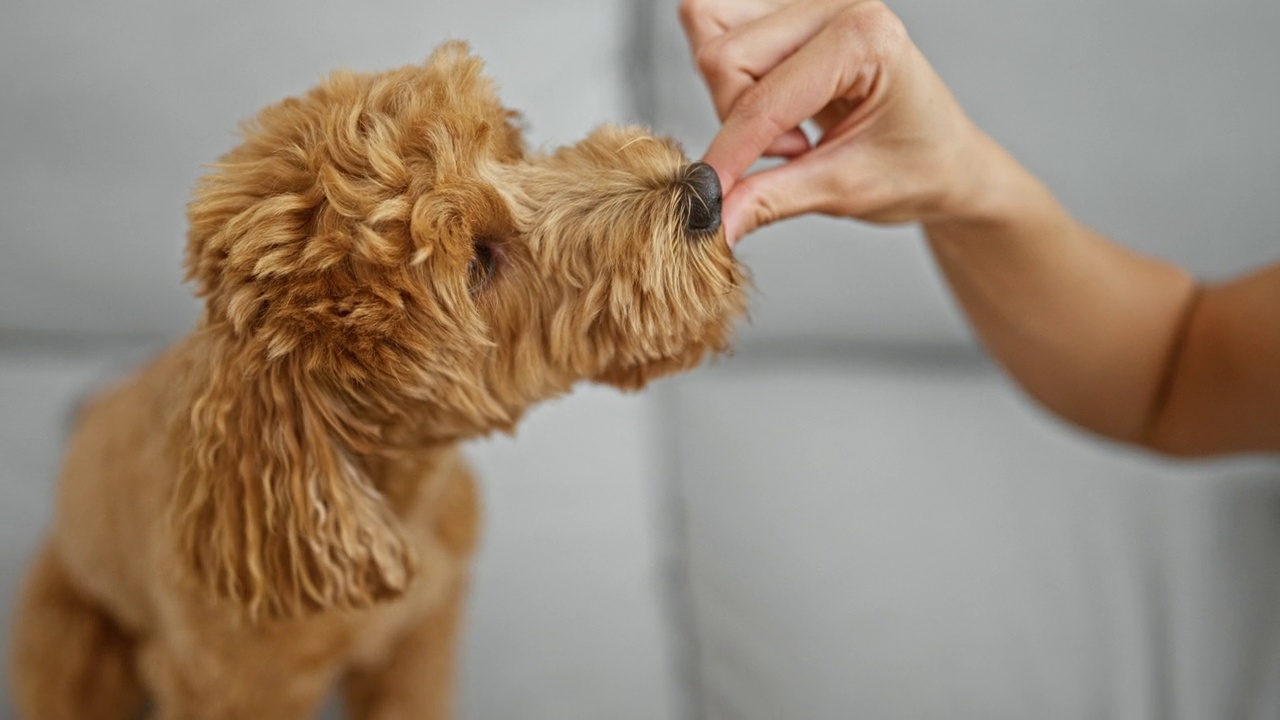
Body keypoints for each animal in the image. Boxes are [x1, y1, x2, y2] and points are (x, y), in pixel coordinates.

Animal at [10, 43, 747, 717]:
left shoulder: (424, 632)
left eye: (512, 144)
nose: (705, 189)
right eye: (478, 263)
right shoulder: (231, 689)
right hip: (68, 639)